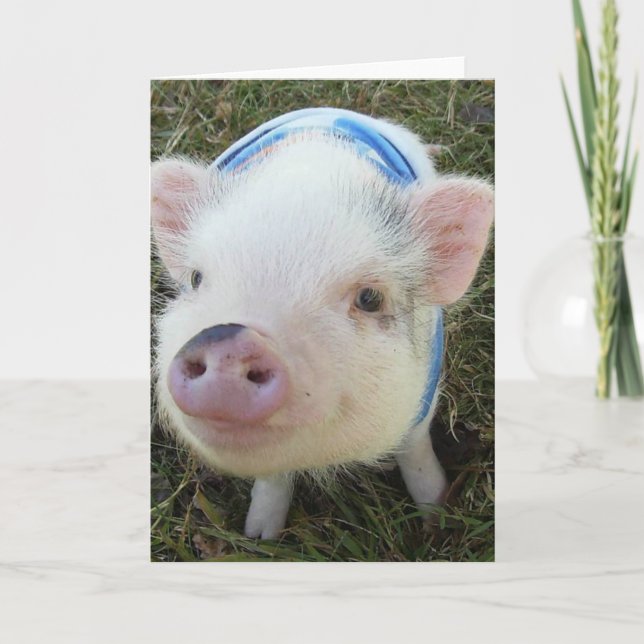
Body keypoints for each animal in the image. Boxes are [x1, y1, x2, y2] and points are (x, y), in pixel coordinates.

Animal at [151, 107, 493, 540]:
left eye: (369, 298)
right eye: (196, 279)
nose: (227, 340)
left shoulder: (423, 397)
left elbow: (415, 452)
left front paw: (436, 519)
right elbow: (274, 479)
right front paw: (259, 537)